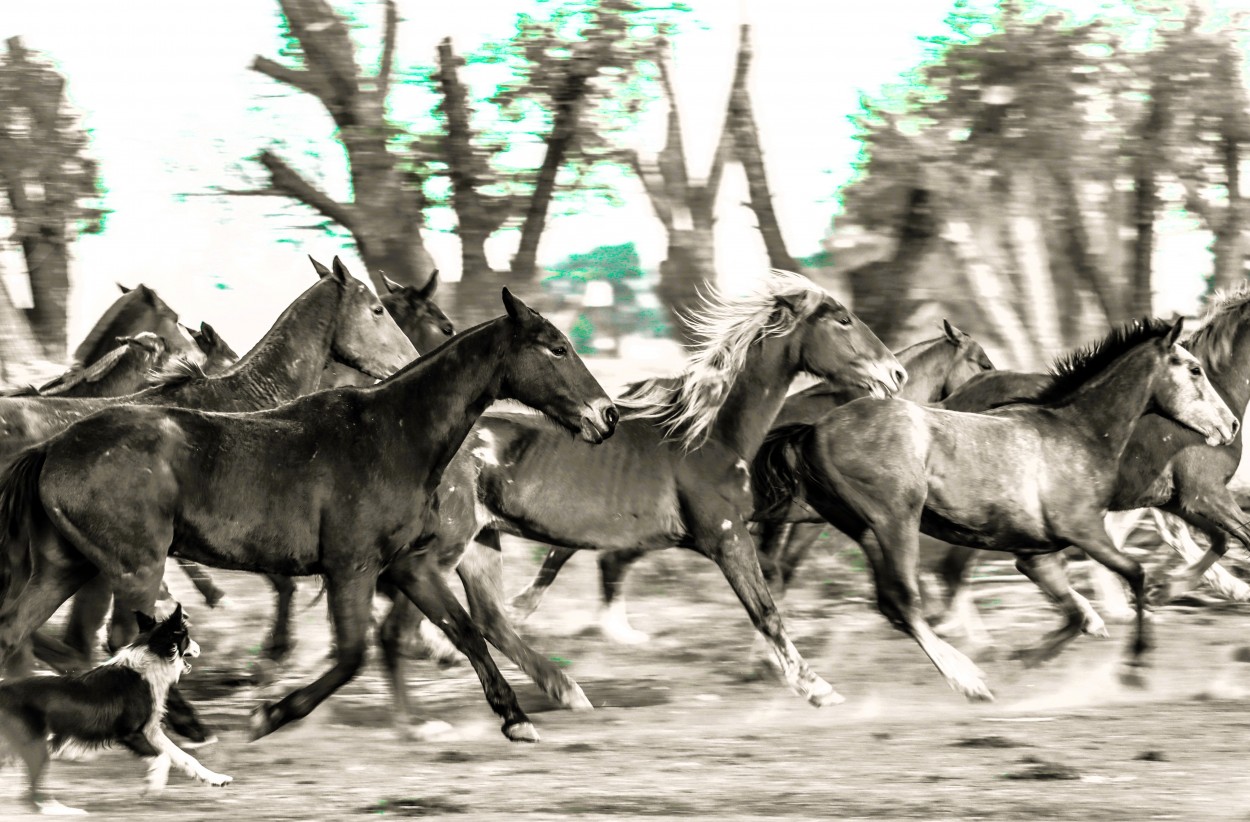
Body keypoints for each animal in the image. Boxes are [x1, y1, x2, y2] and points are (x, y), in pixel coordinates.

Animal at [0, 288, 617, 744]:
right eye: (556, 348)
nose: (607, 414)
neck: (393, 433)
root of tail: (53, 448)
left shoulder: (409, 567)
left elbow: (464, 631)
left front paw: (516, 718)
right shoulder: (351, 568)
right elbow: (351, 654)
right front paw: (270, 713)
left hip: (67, 567)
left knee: (16, 632)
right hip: (135, 567)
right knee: (122, 638)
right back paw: (187, 725)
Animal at [365, 268, 905, 724]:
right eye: (843, 319)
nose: (895, 374)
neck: (707, 436)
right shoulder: (726, 537)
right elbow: (766, 611)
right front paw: (817, 689)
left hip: (482, 541)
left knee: (489, 619)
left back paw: (568, 693)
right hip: (442, 548)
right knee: (410, 625)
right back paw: (418, 723)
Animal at [507, 317, 995, 644]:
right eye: (982, 362)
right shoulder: (806, 520)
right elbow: (783, 567)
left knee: (606, 559)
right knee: (576, 555)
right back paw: (538, 613)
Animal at [755, 317, 1235, 699]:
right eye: (1194, 369)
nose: (1230, 424)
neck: (1078, 432)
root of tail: (814, 430)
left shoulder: (1038, 554)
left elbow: (1074, 611)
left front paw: (1028, 659)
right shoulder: (1085, 531)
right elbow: (1136, 575)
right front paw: (1135, 667)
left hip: (863, 530)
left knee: (888, 603)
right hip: (895, 522)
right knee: (903, 599)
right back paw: (968, 681)